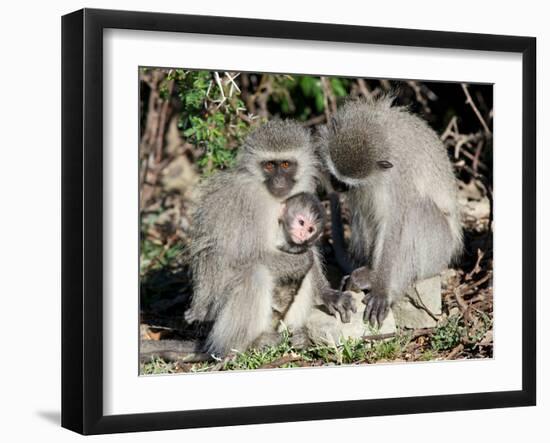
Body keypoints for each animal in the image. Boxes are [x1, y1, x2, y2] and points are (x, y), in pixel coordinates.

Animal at [185, 120, 358, 358]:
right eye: (268, 166)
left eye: (285, 164)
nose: (278, 180)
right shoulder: (249, 203)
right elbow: (236, 257)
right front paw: (302, 261)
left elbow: (308, 251)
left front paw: (328, 294)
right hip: (213, 315)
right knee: (255, 274)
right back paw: (246, 345)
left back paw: (297, 336)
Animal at [320, 96, 466, 326]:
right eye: (335, 175)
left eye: (344, 182)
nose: (336, 186)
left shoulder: (398, 179)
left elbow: (393, 226)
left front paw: (381, 290)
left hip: (439, 251)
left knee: (416, 210)